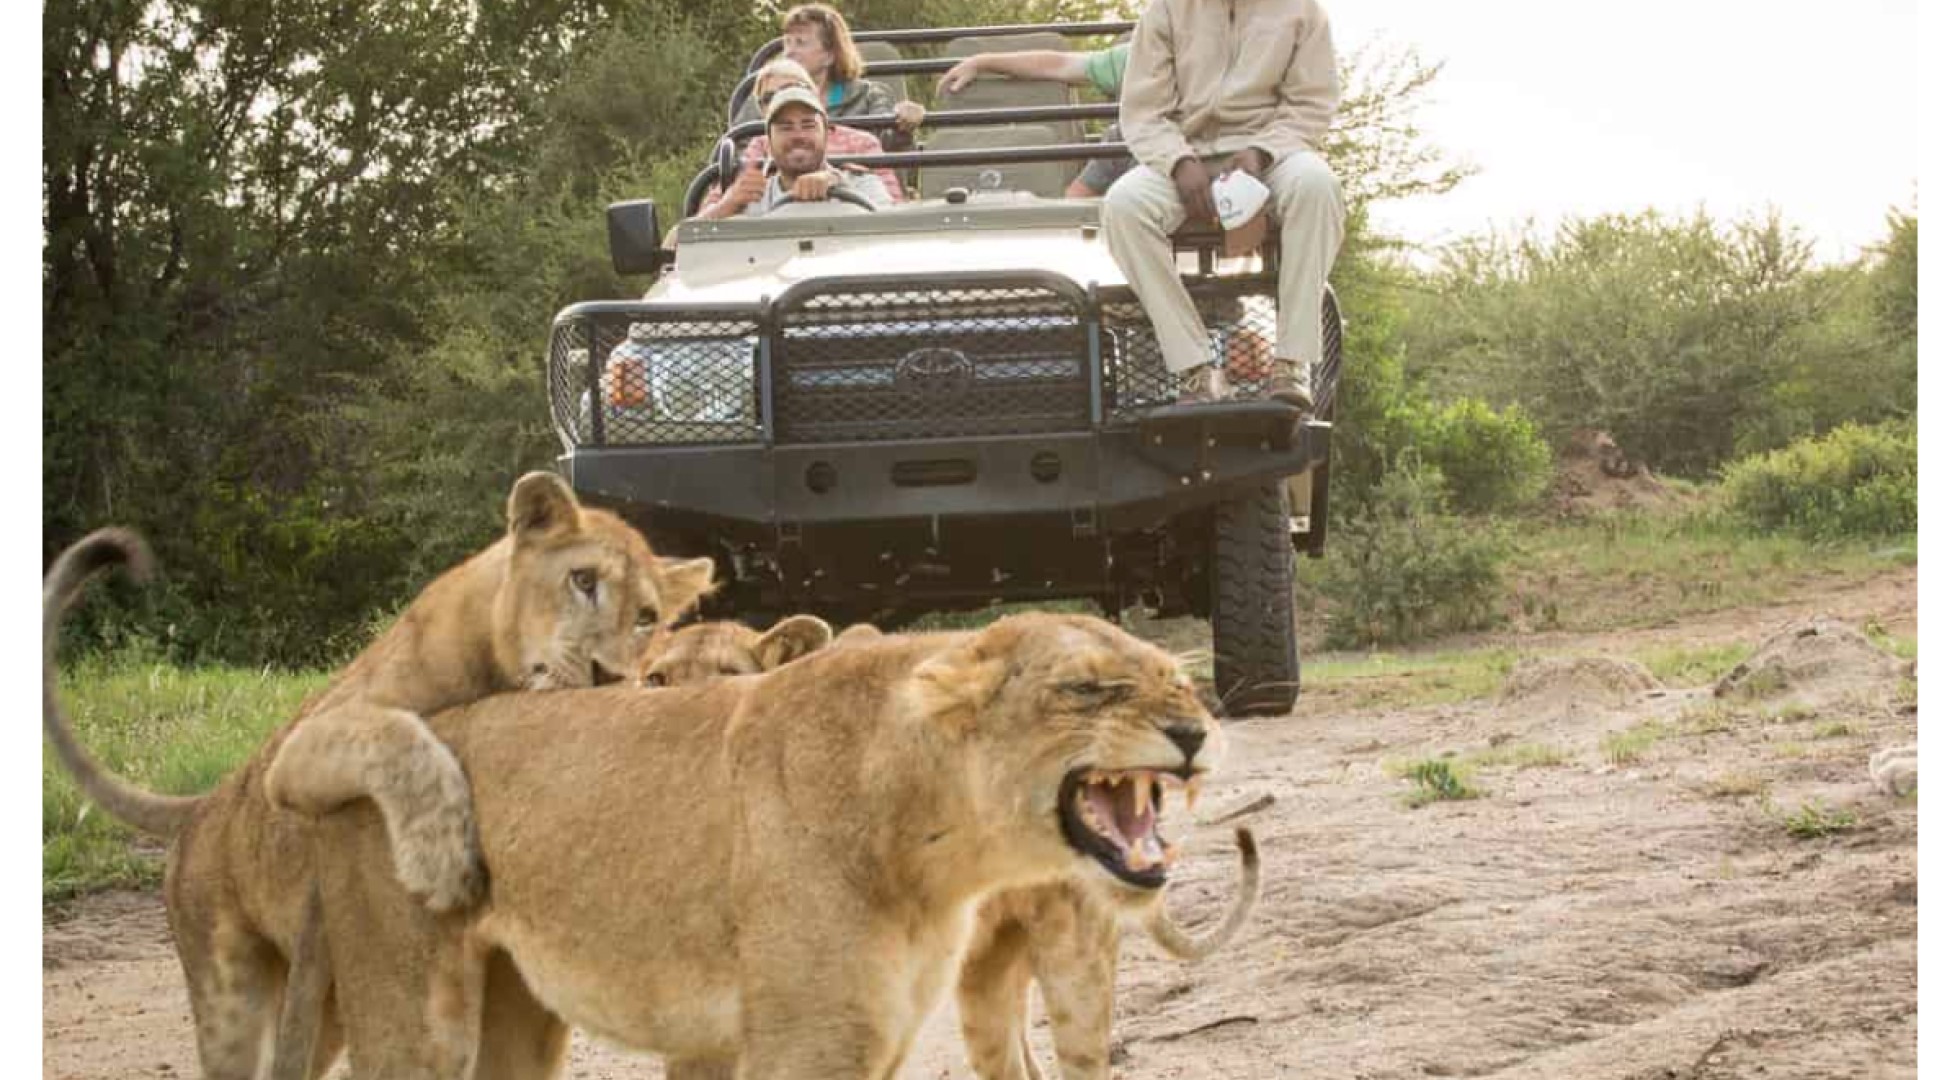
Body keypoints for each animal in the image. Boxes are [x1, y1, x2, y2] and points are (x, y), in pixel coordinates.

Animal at [41, 472, 717, 1080]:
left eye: (647, 616)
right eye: (583, 580)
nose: (609, 674)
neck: (497, 667)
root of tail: (208, 801)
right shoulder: (302, 748)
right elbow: (397, 734)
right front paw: (442, 861)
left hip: (321, 1002)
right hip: (229, 992)